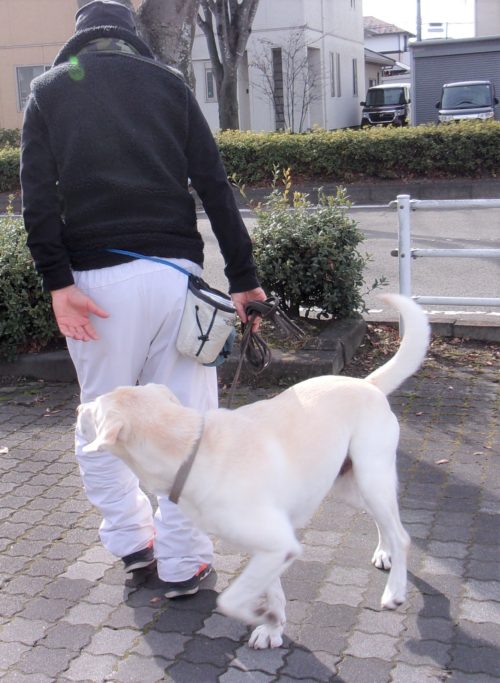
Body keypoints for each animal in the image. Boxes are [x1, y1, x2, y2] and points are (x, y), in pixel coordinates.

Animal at [77, 294, 430, 649]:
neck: (192, 449)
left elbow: (229, 600)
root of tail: (366, 384)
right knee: (384, 521)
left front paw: (261, 617)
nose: (79, 407)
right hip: (348, 486)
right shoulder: (269, 547)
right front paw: (273, 626)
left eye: (94, 411)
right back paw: (384, 552)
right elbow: (271, 591)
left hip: (371, 477)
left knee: (402, 535)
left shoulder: (276, 544)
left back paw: (395, 591)